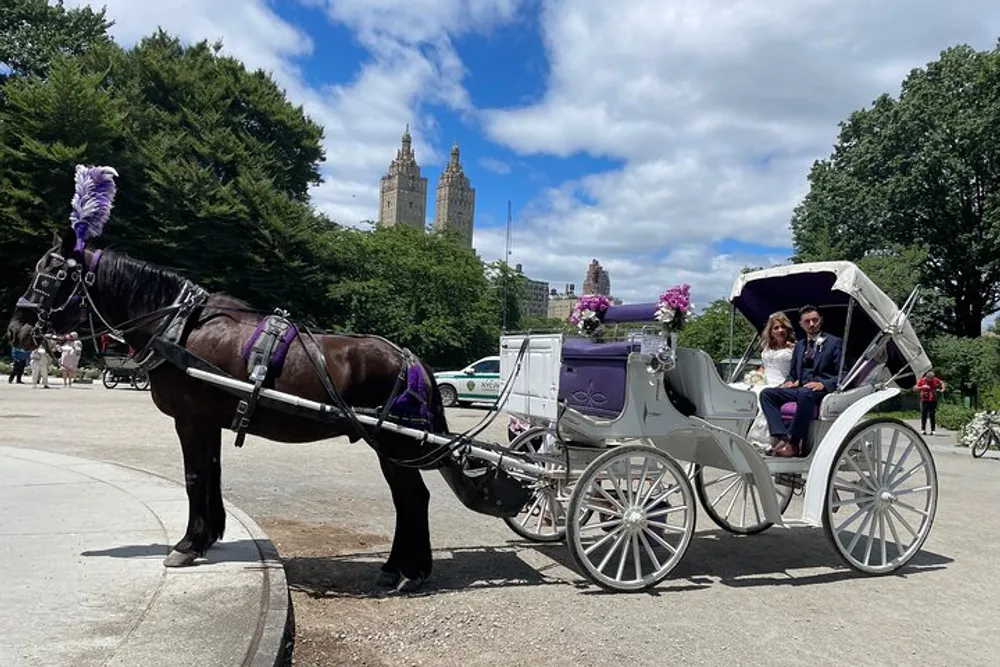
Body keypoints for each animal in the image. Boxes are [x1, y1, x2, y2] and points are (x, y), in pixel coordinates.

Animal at [5, 227, 458, 592]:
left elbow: (194, 477)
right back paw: (398, 567)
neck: (180, 328)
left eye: (50, 276)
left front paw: (187, 544)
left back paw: (411, 572)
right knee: (406, 499)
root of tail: (409, 358)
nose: (16, 330)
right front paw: (207, 536)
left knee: (413, 498)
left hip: (394, 443)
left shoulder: (190, 419)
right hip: (386, 444)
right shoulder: (209, 422)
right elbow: (212, 474)